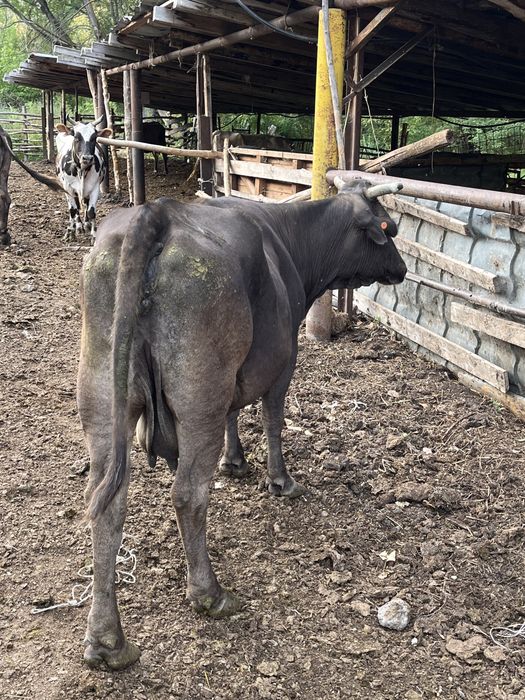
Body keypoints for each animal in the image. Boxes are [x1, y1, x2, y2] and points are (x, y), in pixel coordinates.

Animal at [78, 177, 407, 670]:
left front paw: (234, 462)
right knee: (187, 493)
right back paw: (209, 594)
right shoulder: (283, 359)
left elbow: (237, 413)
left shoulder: (238, 374)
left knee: (107, 502)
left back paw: (107, 642)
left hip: (102, 401)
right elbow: (273, 420)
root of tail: (157, 212)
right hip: (200, 399)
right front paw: (281, 480)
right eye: (388, 227)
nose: (402, 268)